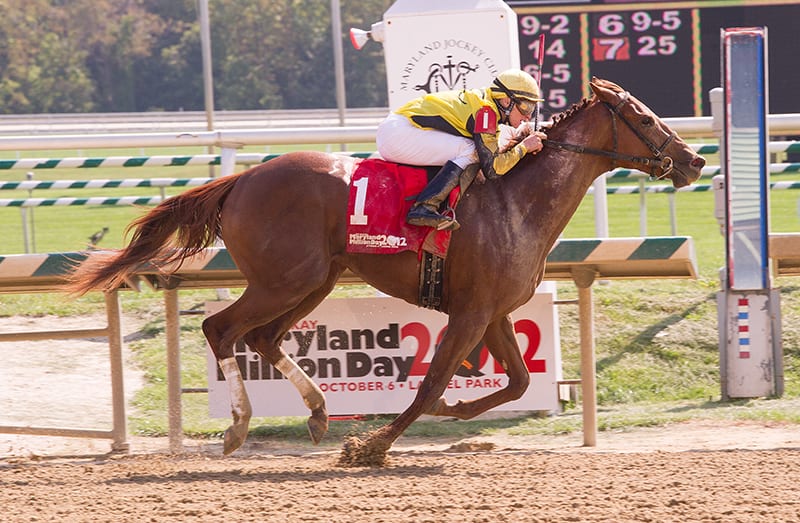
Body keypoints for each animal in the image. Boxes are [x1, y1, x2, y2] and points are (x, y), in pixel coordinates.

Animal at [65, 77, 704, 466]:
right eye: (645, 118)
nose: (695, 160)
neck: (516, 203)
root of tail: (241, 180)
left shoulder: (492, 311)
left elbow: (519, 382)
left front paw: (454, 415)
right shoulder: (469, 313)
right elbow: (431, 383)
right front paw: (372, 446)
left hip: (314, 280)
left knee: (263, 337)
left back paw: (318, 414)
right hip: (284, 279)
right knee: (221, 329)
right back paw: (241, 426)